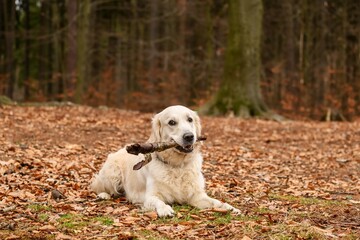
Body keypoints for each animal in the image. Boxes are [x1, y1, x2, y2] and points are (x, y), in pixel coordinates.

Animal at [90, 106, 240, 217]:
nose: (189, 136)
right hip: (113, 172)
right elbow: (158, 202)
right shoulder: (150, 196)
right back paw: (103, 195)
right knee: (99, 187)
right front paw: (165, 209)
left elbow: (215, 202)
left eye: (190, 119)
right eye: (172, 122)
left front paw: (229, 207)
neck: (177, 166)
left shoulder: (196, 196)